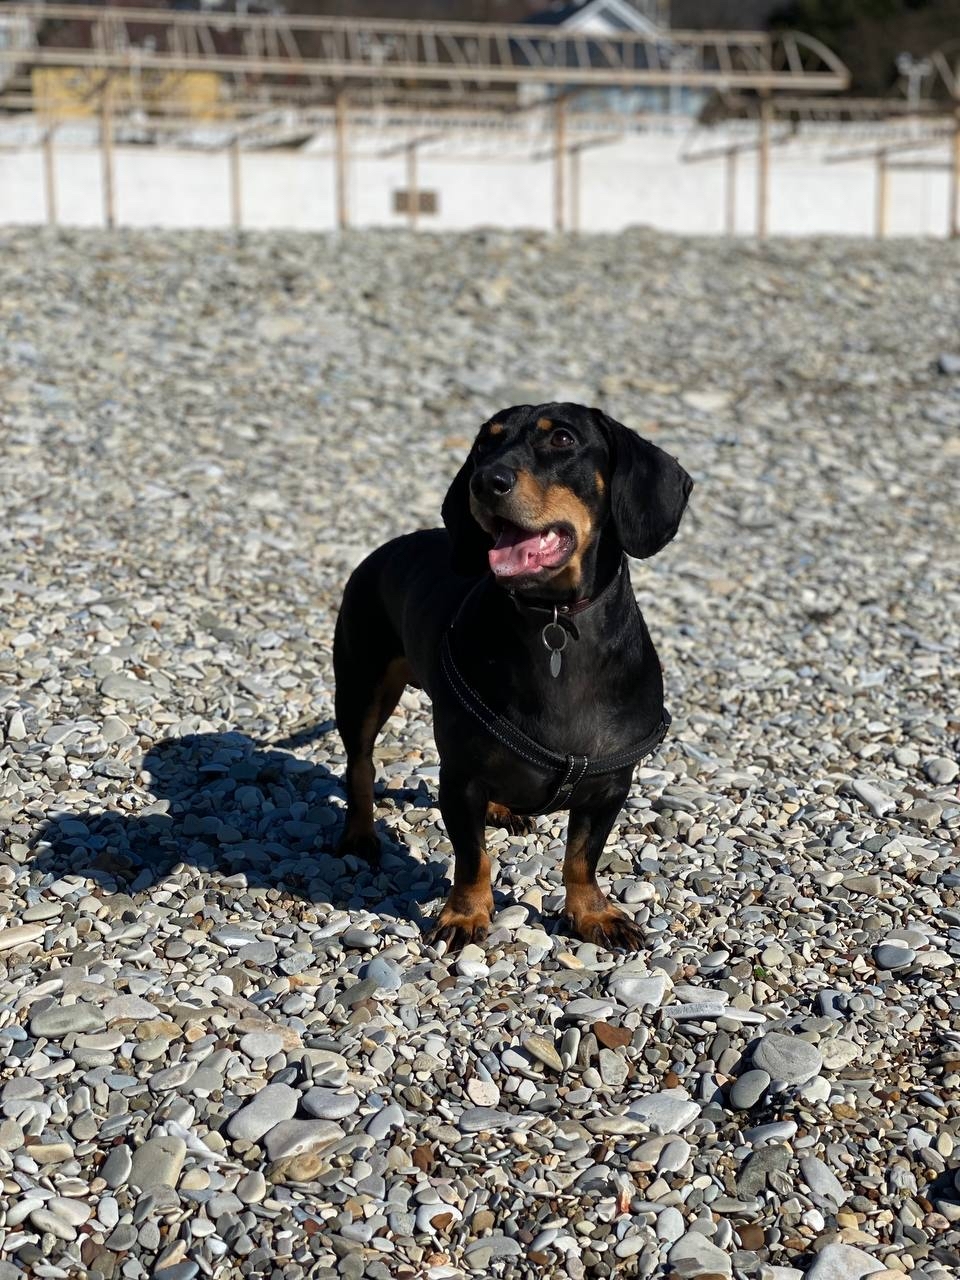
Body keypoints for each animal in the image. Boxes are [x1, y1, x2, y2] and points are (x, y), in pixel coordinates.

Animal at [332, 399, 691, 952]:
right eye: (486, 443)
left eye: (562, 439)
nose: (485, 481)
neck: (553, 618)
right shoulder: (459, 779)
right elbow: (472, 859)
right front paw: (464, 916)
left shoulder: (611, 786)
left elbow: (582, 858)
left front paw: (593, 914)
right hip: (360, 687)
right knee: (361, 765)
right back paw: (360, 834)